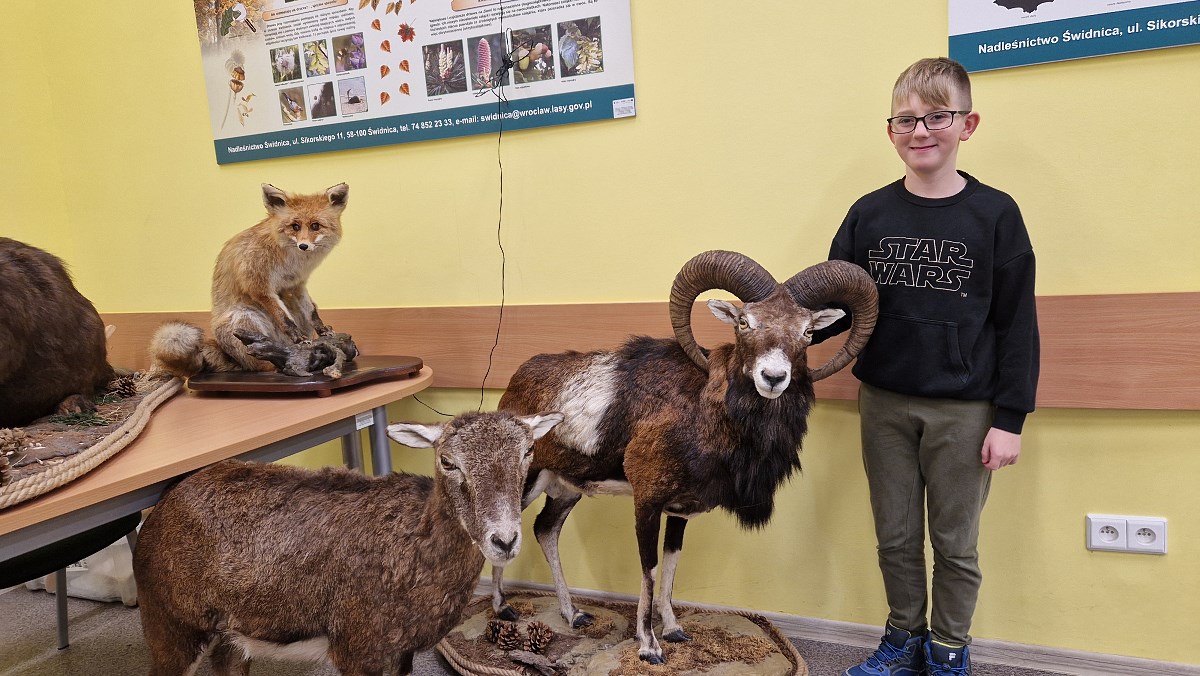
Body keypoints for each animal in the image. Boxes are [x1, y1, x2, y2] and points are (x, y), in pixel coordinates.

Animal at [133, 409, 563, 676]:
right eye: (447, 461)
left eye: (528, 450)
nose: (504, 540)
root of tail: (157, 513)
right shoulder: (356, 648)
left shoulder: (401, 650)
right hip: (171, 624)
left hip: (229, 637)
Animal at [492, 250, 877, 664]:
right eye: (744, 322)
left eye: (806, 332)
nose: (773, 378)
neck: (706, 412)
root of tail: (513, 386)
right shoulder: (647, 502)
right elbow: (649, 568)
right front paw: (650, 648)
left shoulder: (679, 510)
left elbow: (671, 566)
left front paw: (675, 631)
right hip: (524, 482)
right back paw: (503, 608)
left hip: (564, 489)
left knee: (544, 530)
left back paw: (573, 614)